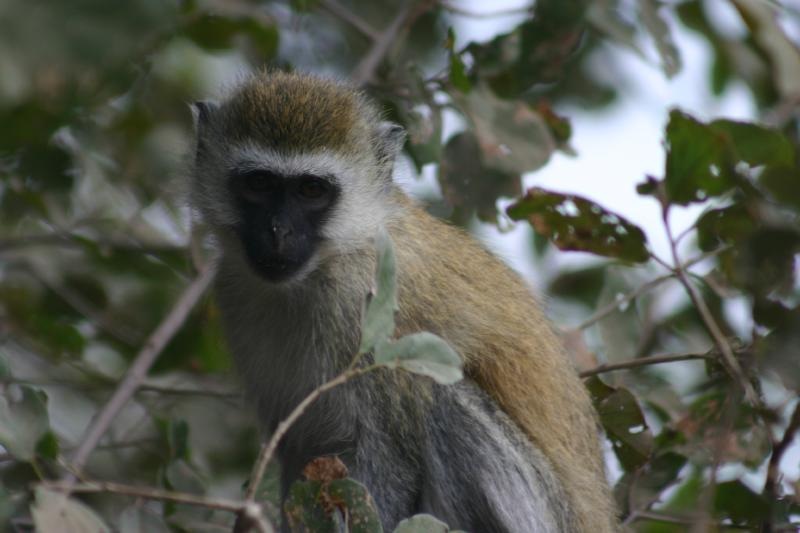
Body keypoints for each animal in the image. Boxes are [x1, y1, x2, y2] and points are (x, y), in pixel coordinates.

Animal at [189, 71, 620, 532]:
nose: (278, 231)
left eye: (311, 190)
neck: (333, 258)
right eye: (259, 184)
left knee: (445, 401)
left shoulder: (367, 309)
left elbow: (387, 464)